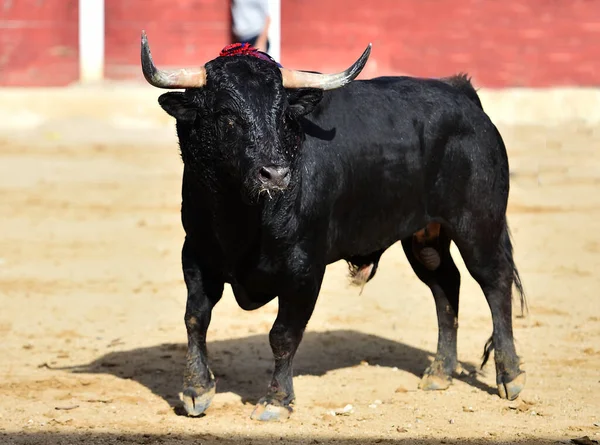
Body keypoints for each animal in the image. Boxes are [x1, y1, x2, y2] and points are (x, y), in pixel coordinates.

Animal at [139, 31, 524, 420]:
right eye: (226, 114)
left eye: (284, 114)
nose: (275, 174)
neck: (242, 217)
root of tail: (463, 94)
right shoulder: (197, 254)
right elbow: (195, 318)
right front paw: (196, 390)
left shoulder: (304, 268)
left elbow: (282, 334)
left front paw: (276, 401)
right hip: (425, 236)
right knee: (445, 284)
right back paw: (440, 372)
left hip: (479, 224)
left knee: (495, 282)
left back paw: (510, 376)